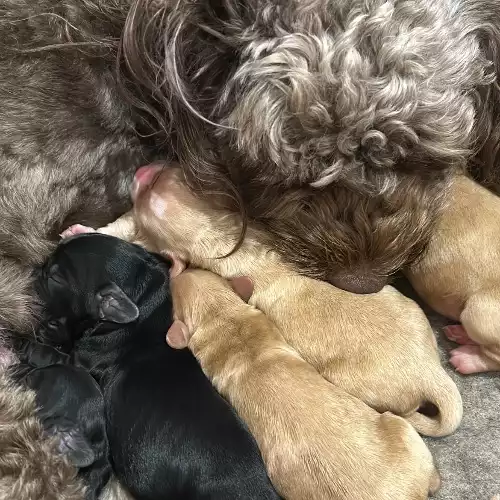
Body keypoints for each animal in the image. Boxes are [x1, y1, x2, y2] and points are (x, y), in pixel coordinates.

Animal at [68, 165, 462, 438]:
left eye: (152, 196)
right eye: (174, 174)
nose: (141, 170)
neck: (219, 231)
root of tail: (431, 373)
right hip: (414, 314)